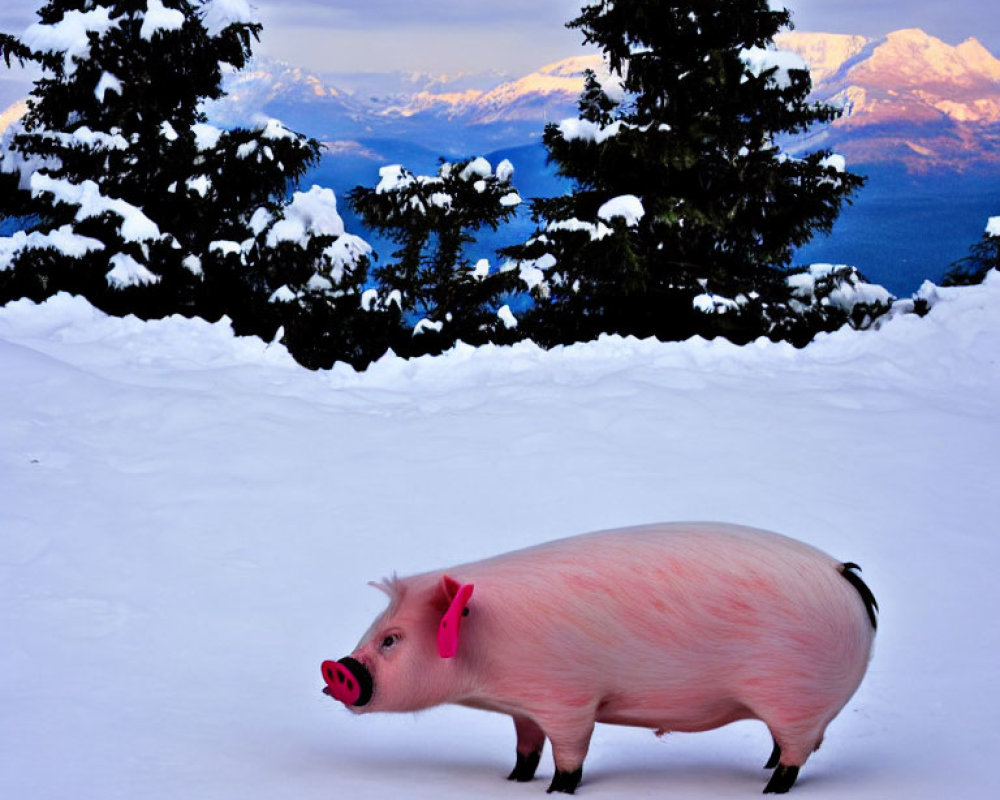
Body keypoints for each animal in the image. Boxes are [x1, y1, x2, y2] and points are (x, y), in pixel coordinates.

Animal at [320, 520, 876, 792]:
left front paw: (555, 792)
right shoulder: (525, 705)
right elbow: (527, 747)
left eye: (391, 640)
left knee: (796, 755)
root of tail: (845, 574)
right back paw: (763, 767)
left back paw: (769, 790)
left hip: (794, 696)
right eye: (376, 632)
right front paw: (513, 782)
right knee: (791, 746)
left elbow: (571, 755)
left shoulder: (568, 698)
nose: (336, 668)